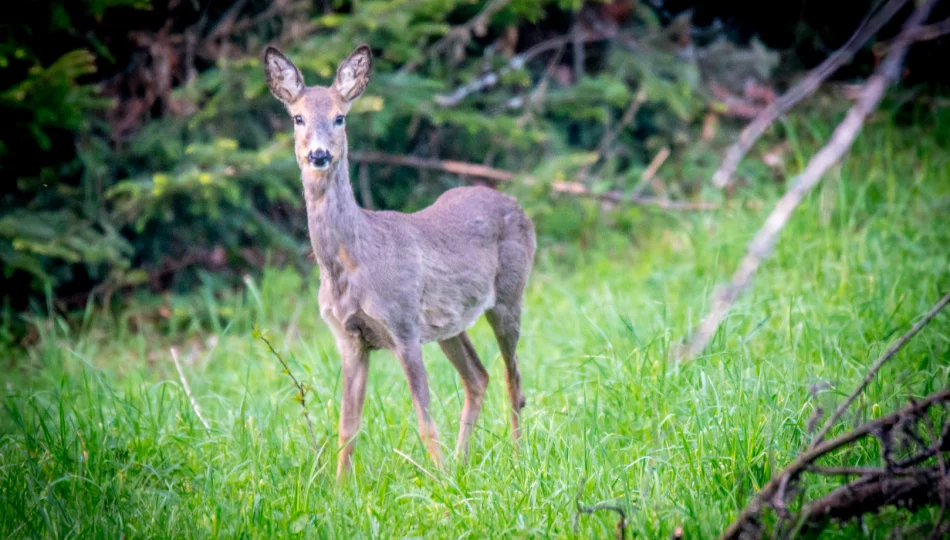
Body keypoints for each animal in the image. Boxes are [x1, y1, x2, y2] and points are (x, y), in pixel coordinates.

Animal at [264, 44, 540, 478]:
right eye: (298, 117)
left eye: (340, 117)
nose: (319, 154)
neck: (350, 265)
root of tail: (517, 206)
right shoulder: (349, 339)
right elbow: (347, 427)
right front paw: (339, 489)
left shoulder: (403, 326)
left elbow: (425, 421)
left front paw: (440, 483)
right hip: (448, 324)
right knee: (478, 376)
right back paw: (463, 462)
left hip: (510, 296)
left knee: (514, 380)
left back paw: (514, 460)